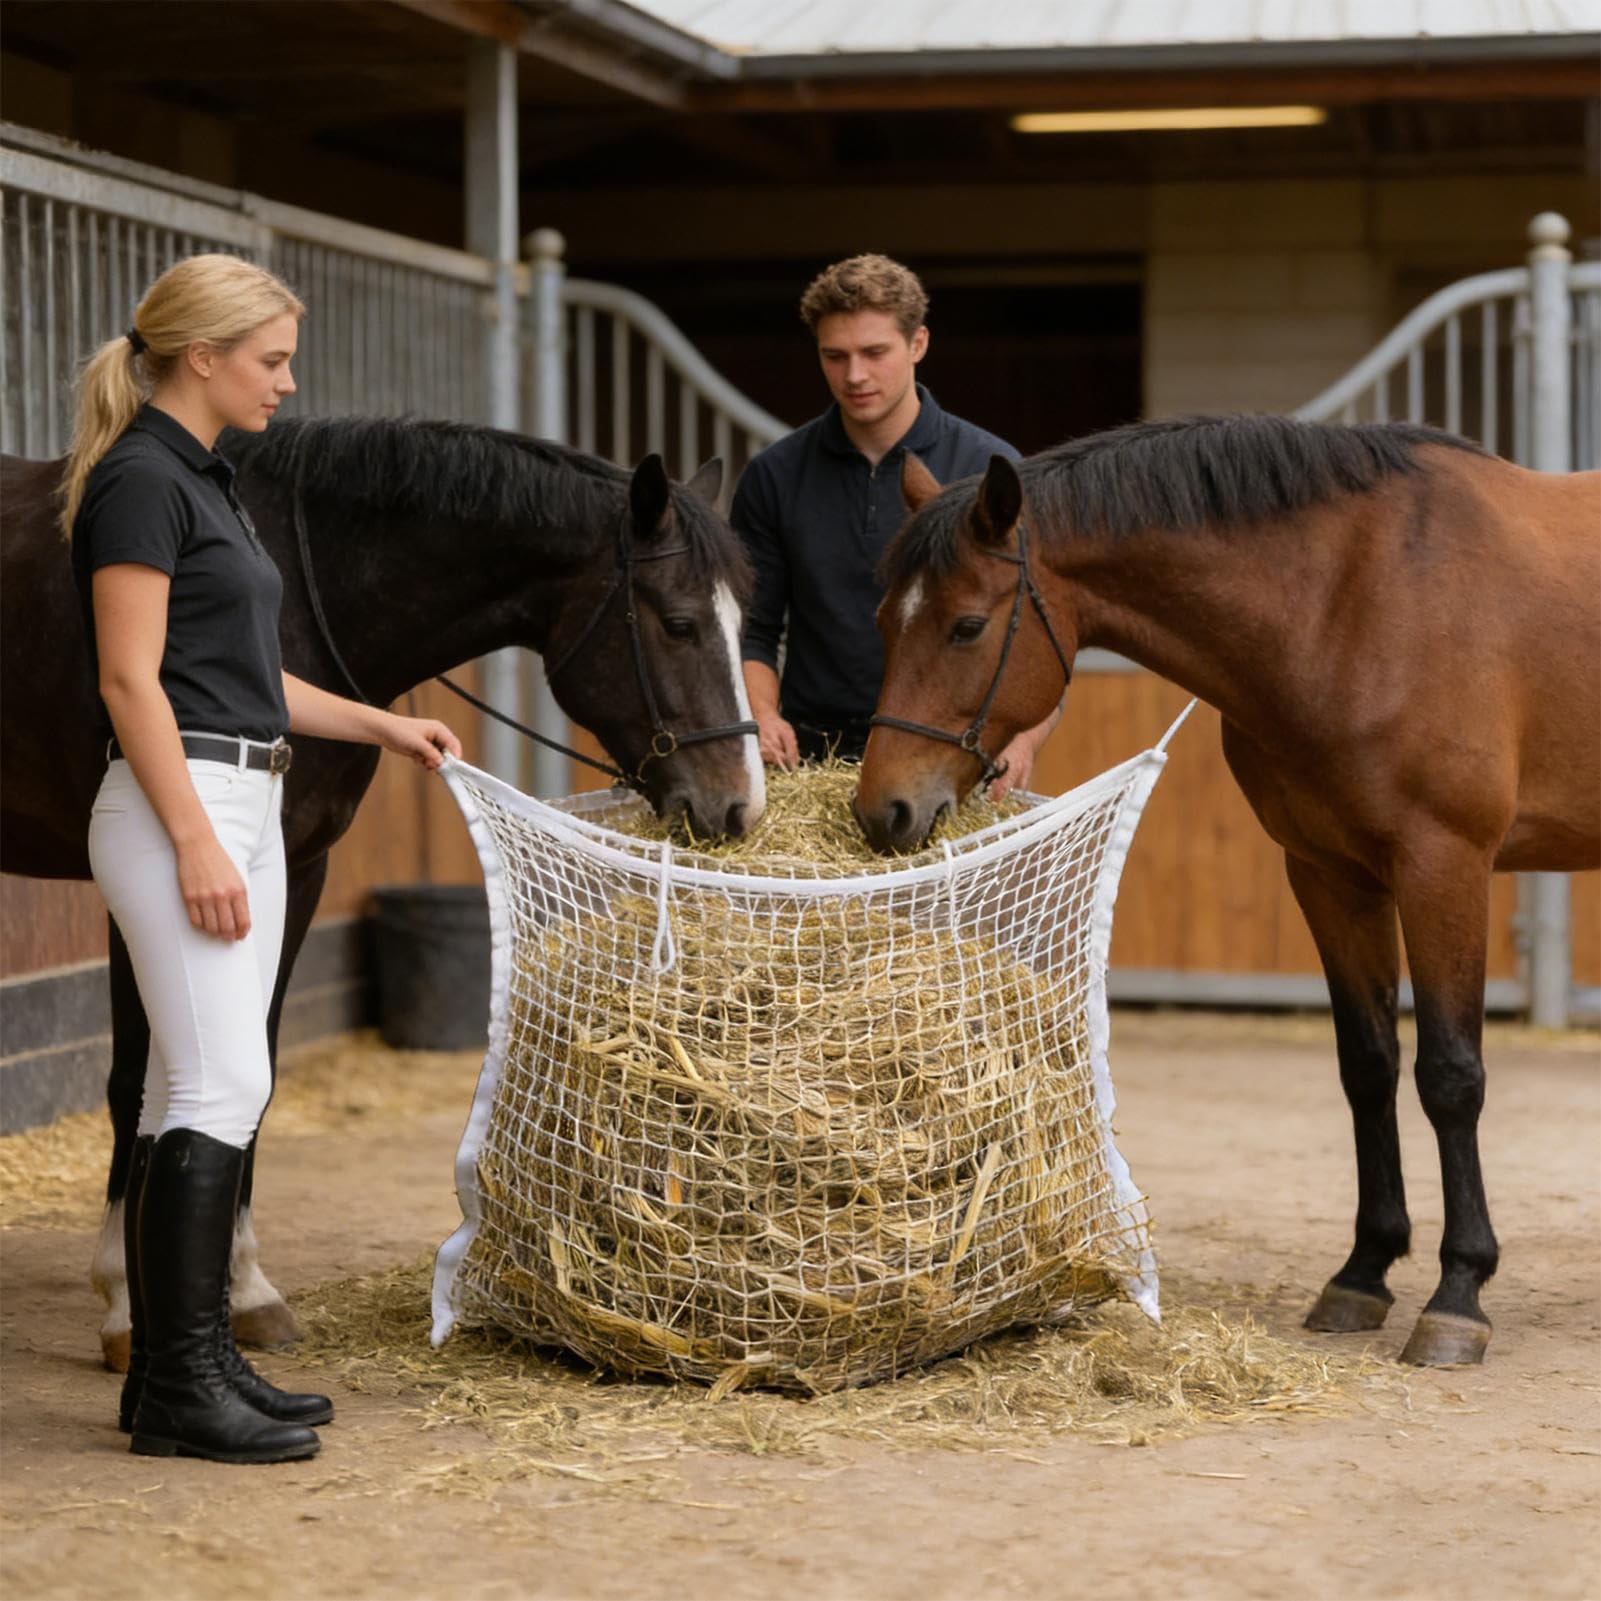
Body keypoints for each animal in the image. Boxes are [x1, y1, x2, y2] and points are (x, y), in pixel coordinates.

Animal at [1, 413, 766, 1369]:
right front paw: (124, 1304)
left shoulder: (297, 870)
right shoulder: (146, 874)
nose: (737, 806)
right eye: (679, 622)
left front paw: (244, 1288)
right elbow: (143, 1075)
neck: (304, 592)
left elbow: (256, 1066)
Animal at [855, 414, 1600, 1367]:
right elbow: (1367, 1066)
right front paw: (1362, 1273)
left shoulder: (1444, 866)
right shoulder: (1327, 873)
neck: (1356, 598)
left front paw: (1457, 1292)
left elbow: (1448, 1076)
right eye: (885, 620)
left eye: (966, 625)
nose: (884, 809)